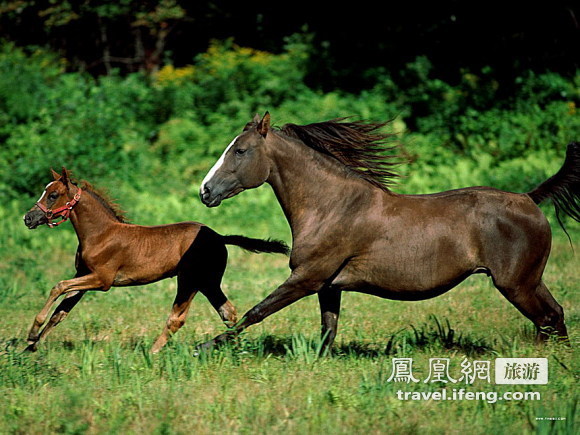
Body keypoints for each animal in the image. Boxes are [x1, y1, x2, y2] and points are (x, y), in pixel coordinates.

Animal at [23, 169, 288, 352]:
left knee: (178, 318)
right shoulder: (83, 276)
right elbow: (60, 312)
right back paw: (233, 347)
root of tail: (219, 237)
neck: (100, 234)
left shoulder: (101, 280)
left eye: (53, 195)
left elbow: (58, 286)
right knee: (229, 312)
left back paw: (151, 352)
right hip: (208, 282)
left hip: (190, 280)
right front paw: (31, 347)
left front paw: (32, 333)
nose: (28, 218)